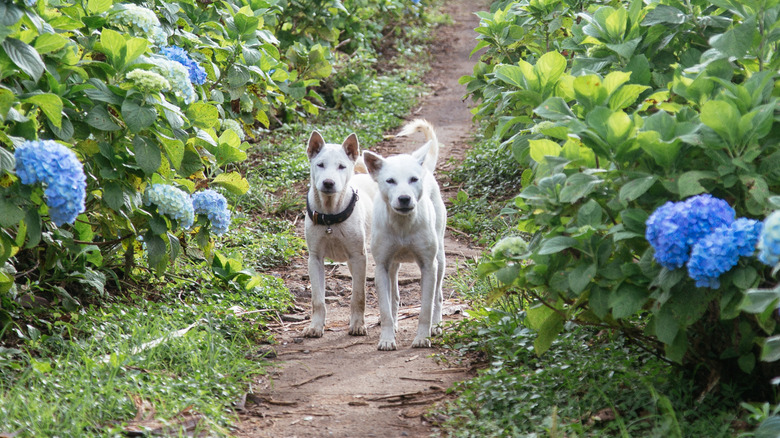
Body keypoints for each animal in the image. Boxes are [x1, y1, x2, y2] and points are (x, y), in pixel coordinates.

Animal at [304, 130, 376, 338]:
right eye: (320, 164)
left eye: (342, 166)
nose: (328, 183)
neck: (330, 216)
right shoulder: (315, 259)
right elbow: (318, 300)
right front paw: (315, 326)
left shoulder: (359, 257)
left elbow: (358, 295)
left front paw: (358, 325)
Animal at [364, 118, 448, 350]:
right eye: (390, 181)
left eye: (413, 179)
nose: (404, 199)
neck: (402, 225)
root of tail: (426, 168)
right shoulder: (381, 266)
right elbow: (384, 307)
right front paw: (386, 338)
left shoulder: (428, 265)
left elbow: (426, 307)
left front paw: (422, 338)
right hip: (393, 264)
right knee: (394, 295)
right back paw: (394, 325)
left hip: (440, 258)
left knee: (438, 296)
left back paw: (437, 326)